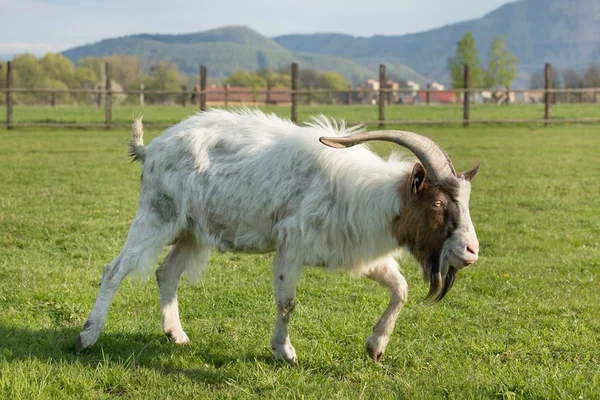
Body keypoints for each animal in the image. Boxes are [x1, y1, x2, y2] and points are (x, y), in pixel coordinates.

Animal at [75, 108, 480, 362]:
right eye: (440, 204)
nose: (471, 251)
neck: (364, 192)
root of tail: (151, 149)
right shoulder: (291, 246)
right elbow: (288, 302)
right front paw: (285, 352)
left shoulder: (349, 251)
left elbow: (400, 289)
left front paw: (375, 348)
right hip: (159, 216)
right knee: (115, 269)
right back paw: (87, 337)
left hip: (191, 230)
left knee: (167, 273)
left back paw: (177, 335)